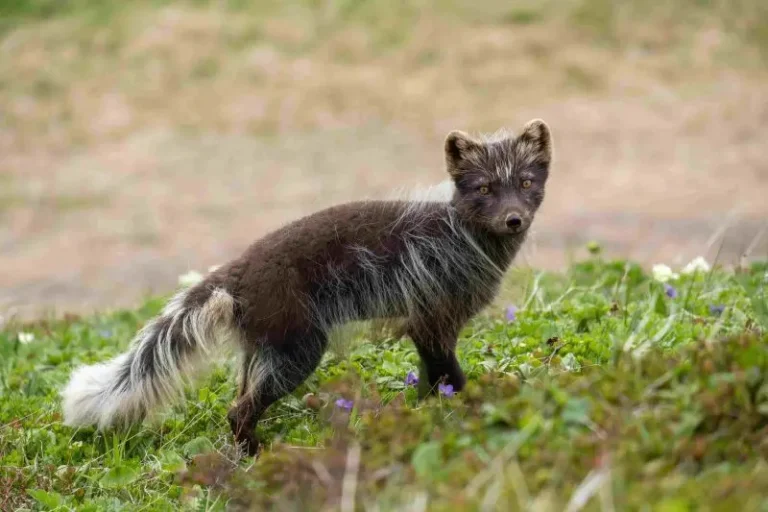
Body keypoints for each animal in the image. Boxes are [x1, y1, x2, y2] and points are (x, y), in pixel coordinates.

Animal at [61, 119, 553, 456]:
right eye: (484, 188)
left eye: (526, 182)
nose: (514, 219)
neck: (462, 235)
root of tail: (236, 271)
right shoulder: (433, 311)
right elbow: (447, 369)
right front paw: (464, 409)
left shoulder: (427, 318)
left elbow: (433, 376)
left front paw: (430, 411)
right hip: (296, 343)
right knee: (241, 408)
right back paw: (256, 456)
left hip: (259, 346)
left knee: (238, 397)